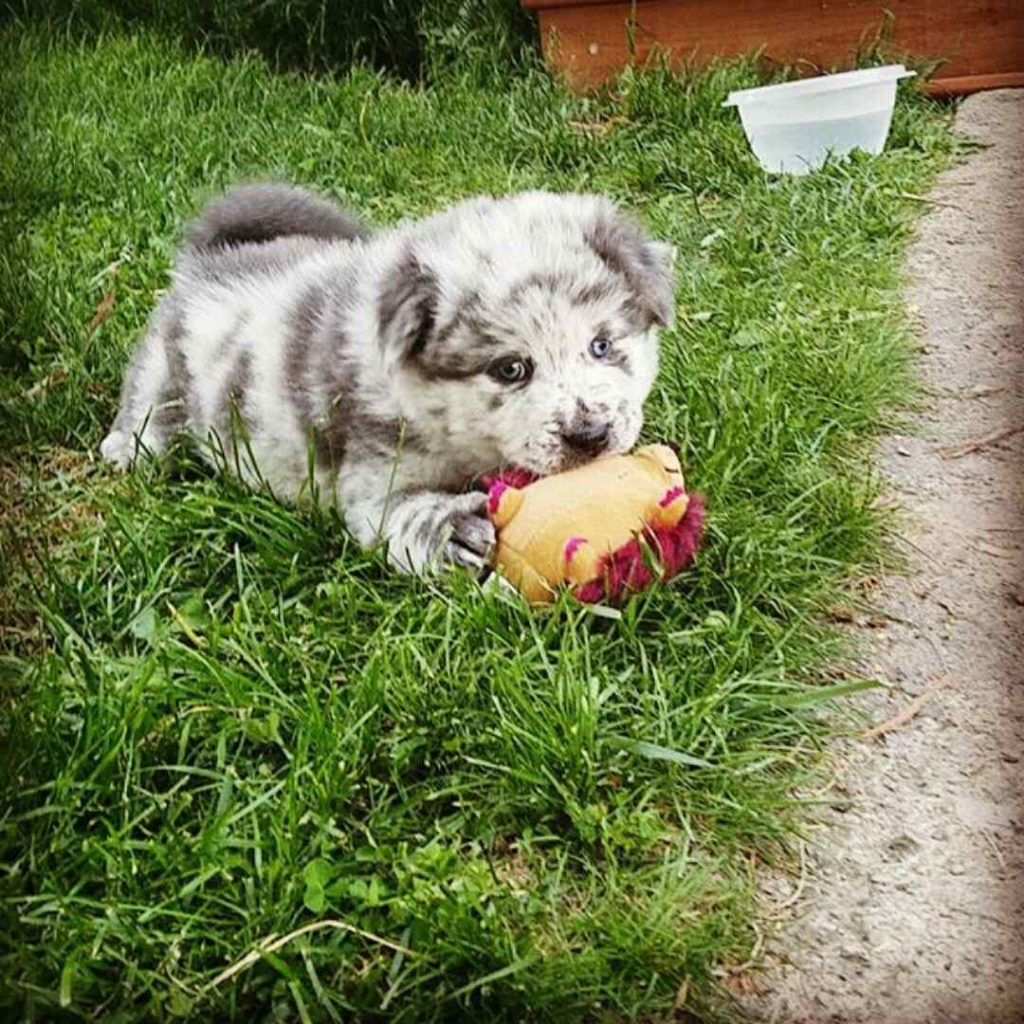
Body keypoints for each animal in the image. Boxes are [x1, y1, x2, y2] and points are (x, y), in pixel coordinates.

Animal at [103, 186, 675, 577]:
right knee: (145, 406)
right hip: (162, 370)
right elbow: (402, 513)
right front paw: (453, 533)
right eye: (510, 368)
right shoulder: (372, 477)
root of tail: (208, 260)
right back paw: (125, 447)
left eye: (601, 345)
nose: (590, 435)